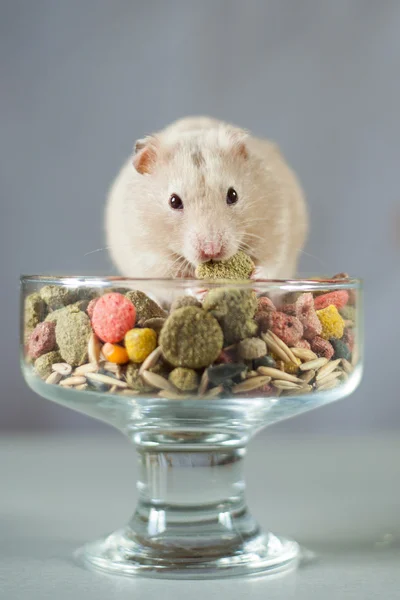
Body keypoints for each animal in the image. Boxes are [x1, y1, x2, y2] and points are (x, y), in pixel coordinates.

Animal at [104, 117, 308, 282]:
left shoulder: (276, 224)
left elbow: (271, 261)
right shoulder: (145, 250)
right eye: (174, 201)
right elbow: (168, 272)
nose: (212, 250)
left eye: (233, 195)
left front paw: (257, 277)